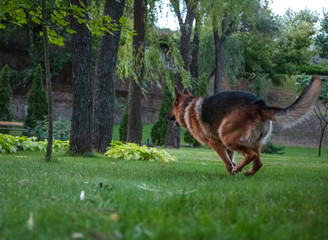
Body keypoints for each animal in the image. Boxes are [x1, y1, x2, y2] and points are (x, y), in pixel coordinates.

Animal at [168, 77, 322, 176]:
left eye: (172, 106)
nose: (166, 116)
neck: (188, 106)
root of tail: (259, 105)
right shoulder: (226, 148)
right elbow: (230, 159)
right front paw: (232, 173)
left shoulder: (216, 143)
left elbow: (226, 161)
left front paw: (231, 172)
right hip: (253, 142)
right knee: (258, 162)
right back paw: (248, 172)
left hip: (228, 138)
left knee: (251, 155)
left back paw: (239, 169)